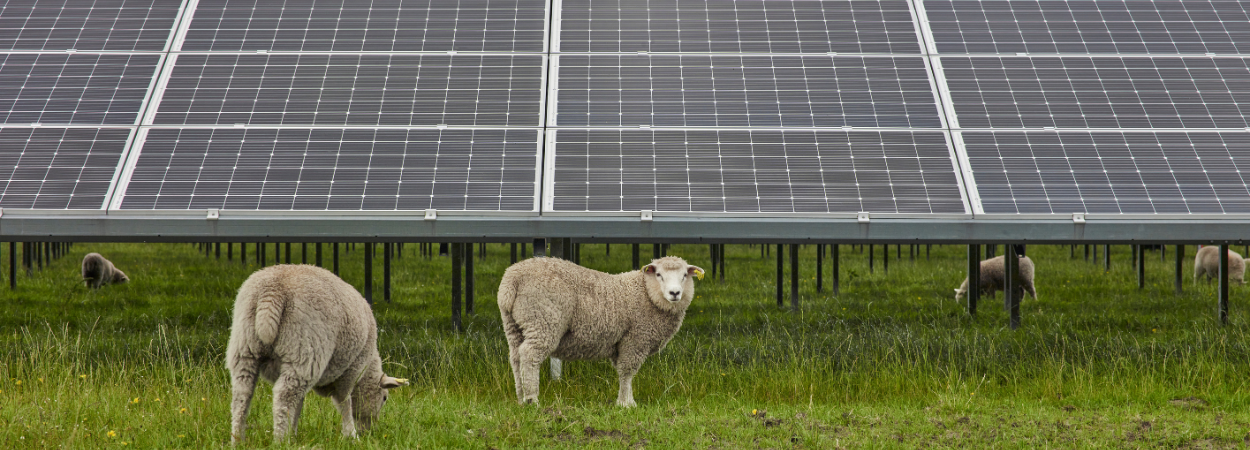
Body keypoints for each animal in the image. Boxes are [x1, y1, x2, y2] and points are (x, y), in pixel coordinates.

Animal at [226, 264, 407, 444]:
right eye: (384, 398)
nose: (369, 431)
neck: (368, 368)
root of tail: (271, 291)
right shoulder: (351, 371)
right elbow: (344, 403)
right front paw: (351, 435)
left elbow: (298, 404)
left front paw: (293, 434)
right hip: (305, 350)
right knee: (284, 396)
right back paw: (279, 440)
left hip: (244, 348)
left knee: (242, 396)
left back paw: (238, 439)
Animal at [498, 256, 704, 407]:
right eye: (659, 274)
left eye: (684, 275)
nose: (675, 293)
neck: (646, 294)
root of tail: (512, 280)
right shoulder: (635, 339)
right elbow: (627, 371)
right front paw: (625, 404)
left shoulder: (620, 344)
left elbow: (624, 371)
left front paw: (628, 400)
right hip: (543, 320)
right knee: (529, 355)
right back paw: (532, 399)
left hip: (514, 324)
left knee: (515, 357)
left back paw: (520, 398)